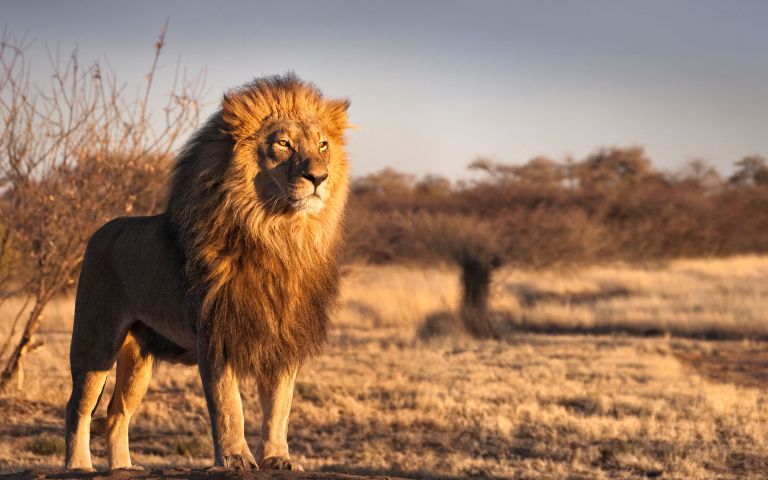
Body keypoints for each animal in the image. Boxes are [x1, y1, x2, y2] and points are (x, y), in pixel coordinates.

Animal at [64, 74, 351, 472]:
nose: (319, 176)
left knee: (117, 412)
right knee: (78, 406)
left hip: (139, 355)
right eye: (283, 143)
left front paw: (278, 458)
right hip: (96, 340)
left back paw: (123, 468)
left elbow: (279, 407)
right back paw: (78, 466)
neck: (279, 235)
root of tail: (100, 230)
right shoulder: (216, 333)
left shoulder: (283, 337)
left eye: (323, 145)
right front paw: (235, 458)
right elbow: (229, 406)